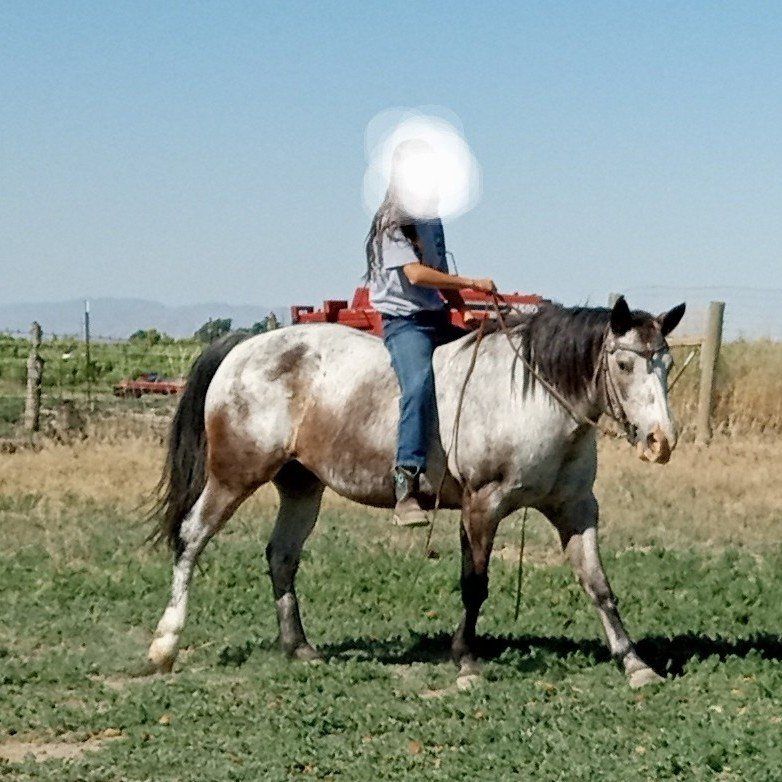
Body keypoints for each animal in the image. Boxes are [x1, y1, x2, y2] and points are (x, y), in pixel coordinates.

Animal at [147, 295, 685, 688]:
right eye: (623, 364)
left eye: (665, 363)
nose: (661, 441)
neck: (532, 396)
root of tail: (244, 347)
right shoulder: (482, 504)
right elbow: (475, 585)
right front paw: (466, 661)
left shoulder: (575, 508)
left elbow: (599, 585)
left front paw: (635, 663)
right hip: (234, 475)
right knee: (191, 538)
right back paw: (165, 646)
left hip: (301, 486)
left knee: (281, 556)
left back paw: (299, 647)